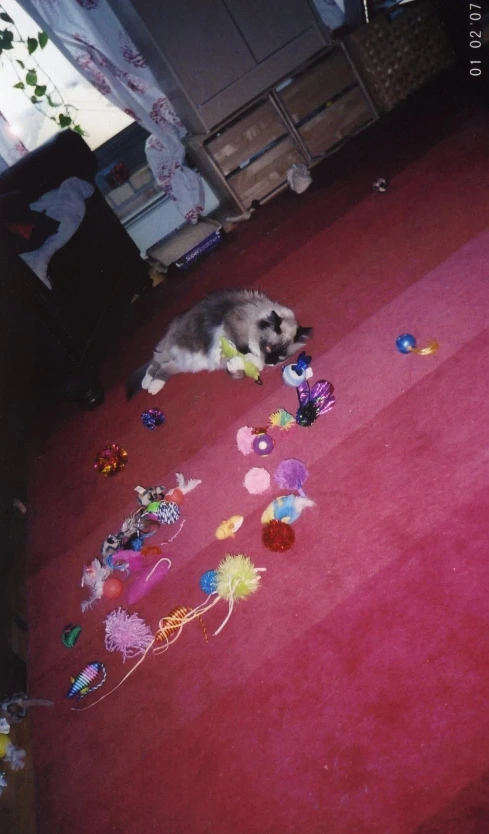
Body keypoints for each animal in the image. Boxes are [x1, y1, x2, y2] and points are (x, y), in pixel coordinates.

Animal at [126, 288, 308, 398]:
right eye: (268, 347)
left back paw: (154, 386)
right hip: (170, 350)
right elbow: (246, 350)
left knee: (164, 369)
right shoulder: (233, 324)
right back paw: (147, 384)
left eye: (281, 358)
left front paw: (242, 365)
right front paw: (252, 360)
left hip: (184, 365)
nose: (271, 362)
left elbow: (238, 371)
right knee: (154, 363)